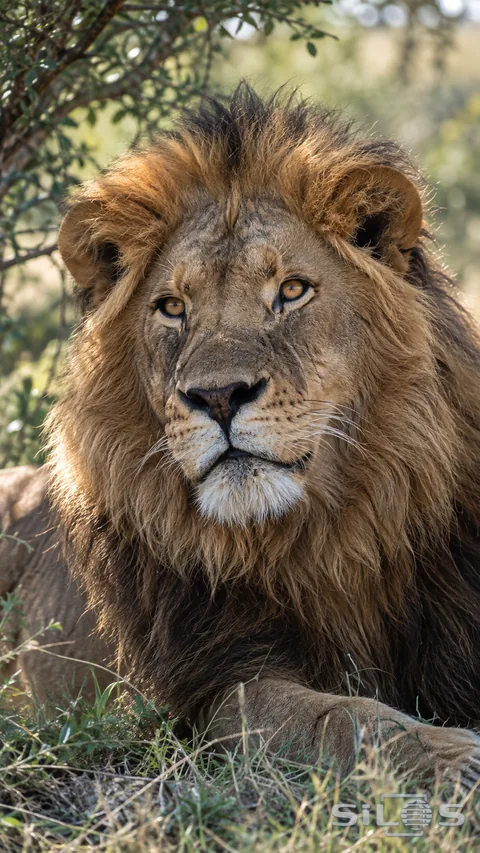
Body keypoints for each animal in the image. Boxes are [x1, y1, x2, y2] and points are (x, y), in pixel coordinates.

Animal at [2, 85, 480, 786]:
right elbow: (342, 717)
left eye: (292, 290)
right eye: (173, 307)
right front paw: (452, 754)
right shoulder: (210, 689)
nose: (218, 396)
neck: (329, 536)